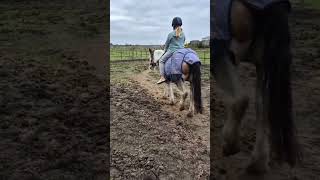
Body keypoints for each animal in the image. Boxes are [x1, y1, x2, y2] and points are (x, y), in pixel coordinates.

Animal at [211, 0, 302, 174]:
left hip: (220, 52)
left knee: (240, 100)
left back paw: (230, 145)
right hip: (263, 61)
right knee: (262, 107)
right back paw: (257, 164)